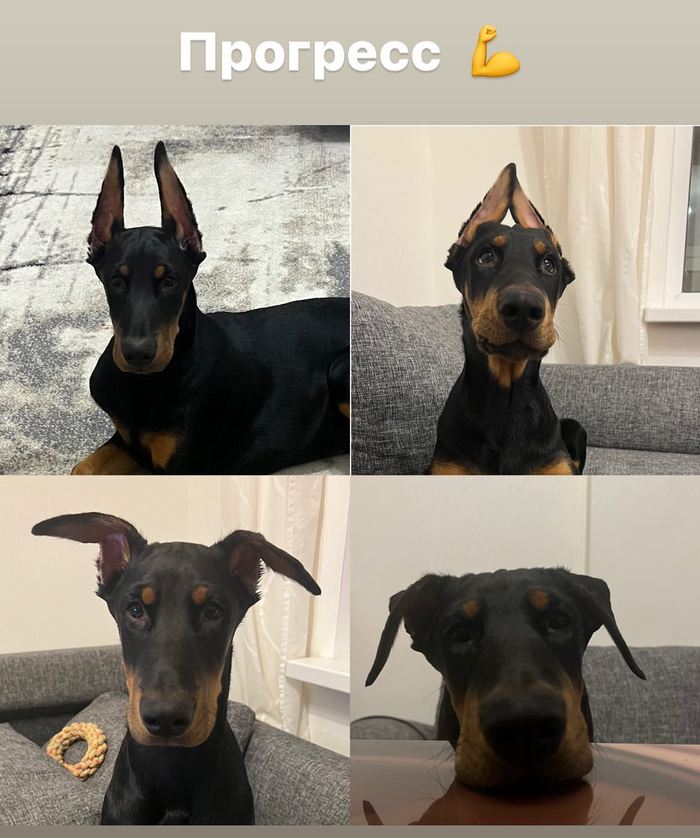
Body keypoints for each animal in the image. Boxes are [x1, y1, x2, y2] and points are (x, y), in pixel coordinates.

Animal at [71, 142, 349, 475]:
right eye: (115, 280)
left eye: (170, 281)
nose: (138, 354)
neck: (146, 384)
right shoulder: (128, 442)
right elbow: (80, 469)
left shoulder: (182, 465)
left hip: (340, 370)